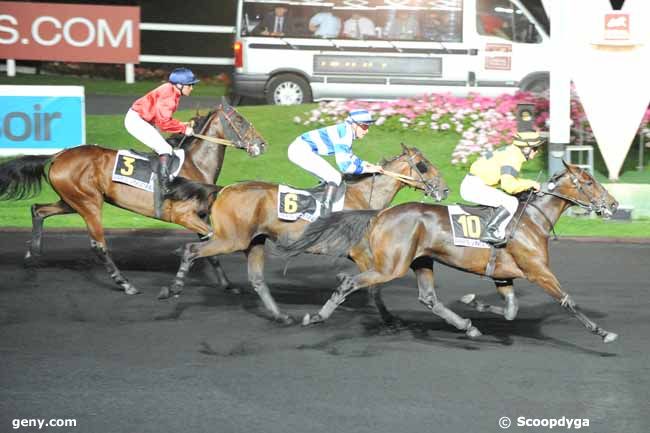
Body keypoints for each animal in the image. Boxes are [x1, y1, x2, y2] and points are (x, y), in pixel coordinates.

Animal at [0, 103, 266, 296]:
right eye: (239, 120)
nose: (262, 144)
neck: (195, 165)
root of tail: (58, 155)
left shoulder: (200, 216)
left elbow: (211, 249)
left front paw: (228, 284)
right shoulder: (183, 215)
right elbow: (212, 241)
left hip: (71, 200)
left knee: (38, 210)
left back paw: (32, 256)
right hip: (89, 203)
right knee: (99, 245)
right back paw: (126, 284)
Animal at [159, 143, 448, 322]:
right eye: (423, 165)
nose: (444, 190)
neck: (363, 195)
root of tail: (223, 189)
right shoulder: (361, 253)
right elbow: (374, 286)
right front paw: (388, 318)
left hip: (253, 241)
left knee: (257, 280)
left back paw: (281, 316)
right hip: (231, 239)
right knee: (191, 250)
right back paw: (172, 289)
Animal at [284, 160, 616, 342]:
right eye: (588, 181)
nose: (612, 204)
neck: (532, 219)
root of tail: (380, 213)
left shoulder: (503, 276)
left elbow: (510, 310)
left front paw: (474, 303)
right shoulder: (538, 271)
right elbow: (568, 300)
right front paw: (602, 332)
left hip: (421, 261)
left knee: (428, 298)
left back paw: (467, 326)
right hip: (392, 266)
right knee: (351, 283)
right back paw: (317, 316)